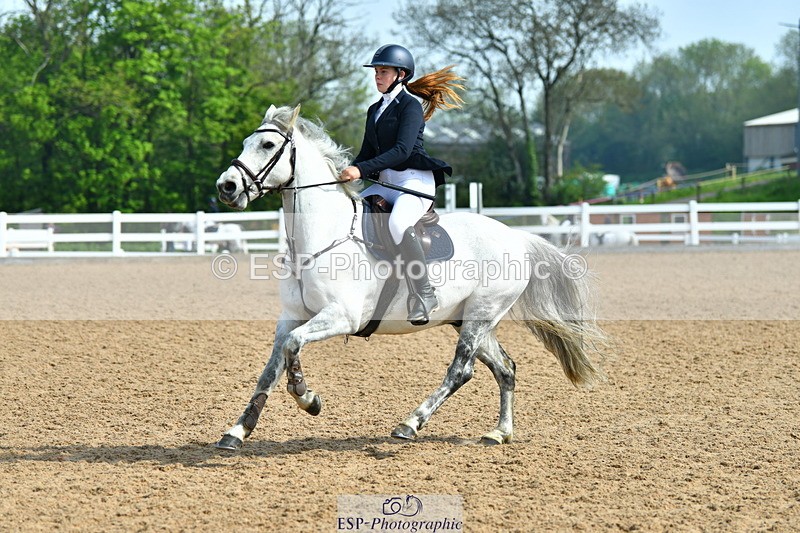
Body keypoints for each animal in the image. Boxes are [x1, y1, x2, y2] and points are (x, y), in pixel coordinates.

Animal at [212, 104, 606, 449]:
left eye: (267, 145)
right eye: (246, 142)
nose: (226, 187)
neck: (324, 236)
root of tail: (518, 237)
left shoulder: (341, 316)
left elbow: (294, 347)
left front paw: (307, 398)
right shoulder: (291, 318)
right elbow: (271, 367)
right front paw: (237, 431)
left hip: (481, 314)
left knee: (460, 371)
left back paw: (410, 423)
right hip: (467, 319)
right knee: (505, 368)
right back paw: (498, 433)